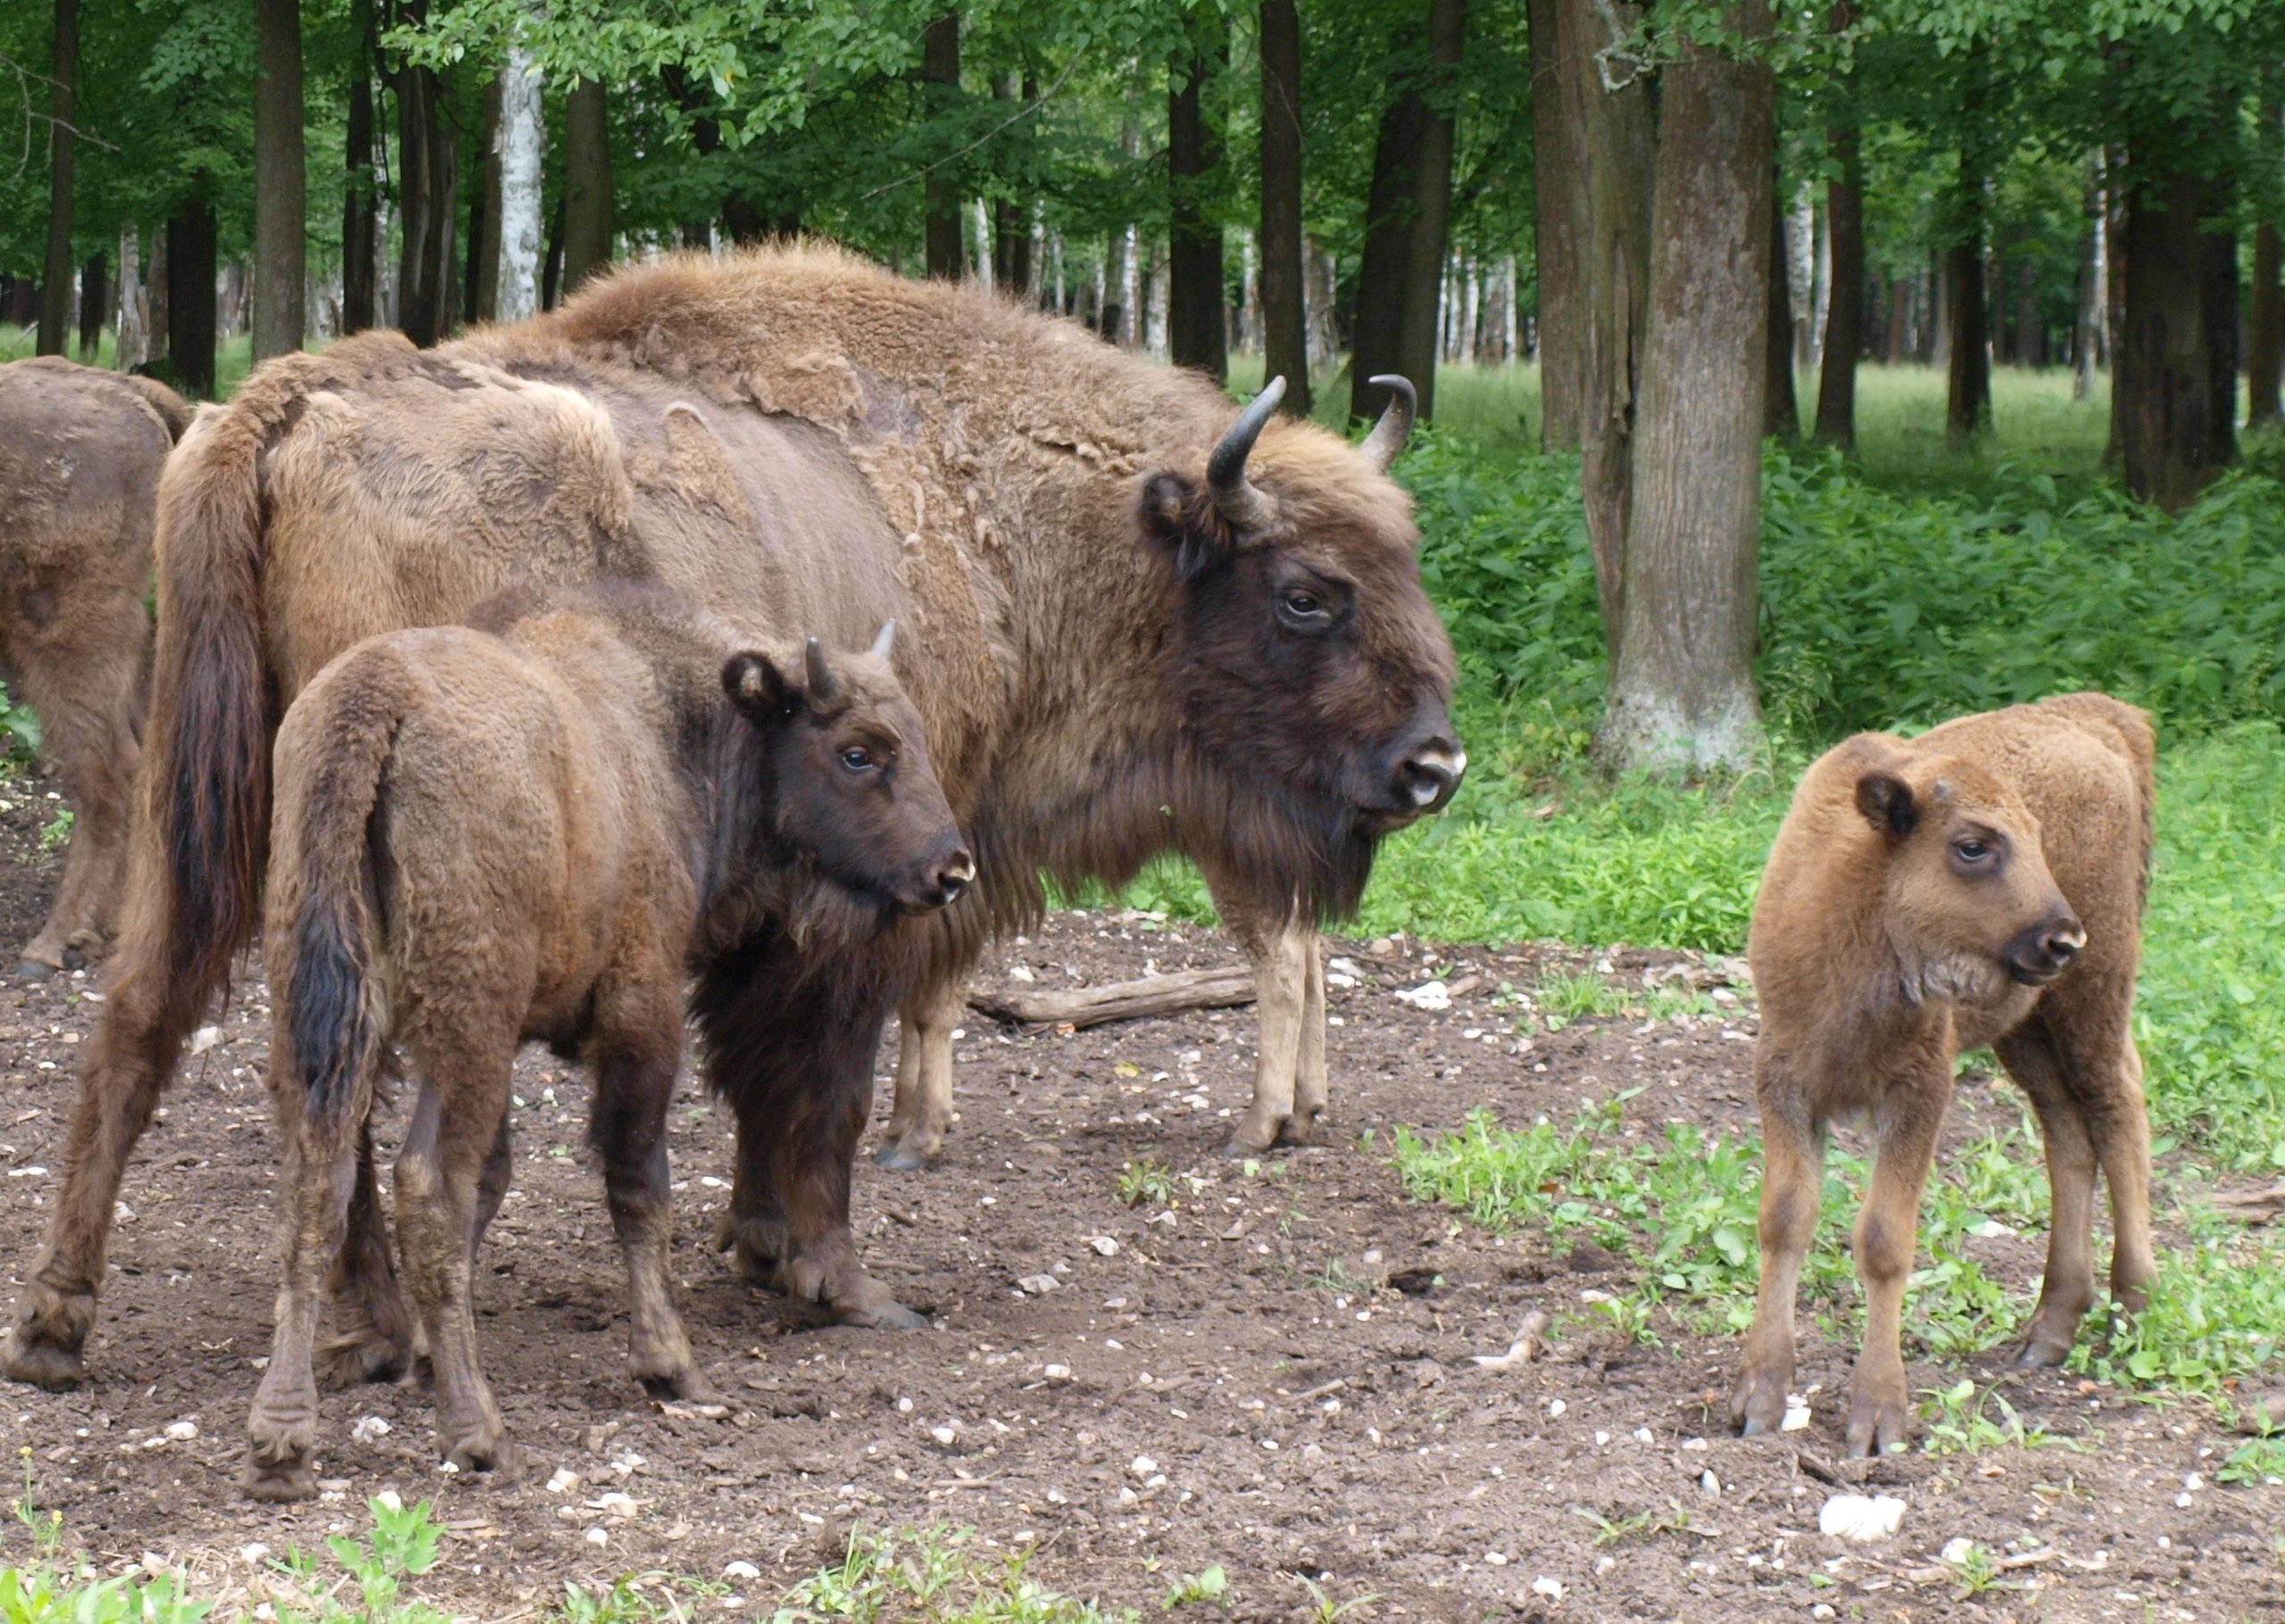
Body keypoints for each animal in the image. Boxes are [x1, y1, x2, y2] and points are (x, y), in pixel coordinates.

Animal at [245, 589, 968, 1498]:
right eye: (859, 752)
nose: (952, 870)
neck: (672, 734)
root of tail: (374, 702)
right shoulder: (640, 1014)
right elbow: (638, 1184)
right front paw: (671, 1365)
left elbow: (494, 1183)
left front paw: (421, 1359)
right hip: (463, 1026)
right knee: (425, 1187)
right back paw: (480, 1434)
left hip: (323, 1013)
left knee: (317, 1184)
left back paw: (281, 1442)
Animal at [1727, 694, 2156, 1453]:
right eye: (1972, 846)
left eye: (2035, 839)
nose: (2061, 939)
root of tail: (2099, 715)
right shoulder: (1784, 1079)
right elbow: (1784, 1219)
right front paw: (1759, 1397)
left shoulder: (1919, 1093)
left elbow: (1883, 1241)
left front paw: (1877, 1418)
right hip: (2028, 1029)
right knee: (2068, 1133)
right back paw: (2048, 1331)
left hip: (2093, 996)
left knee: (2117, 1108)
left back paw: (2131, 1310)